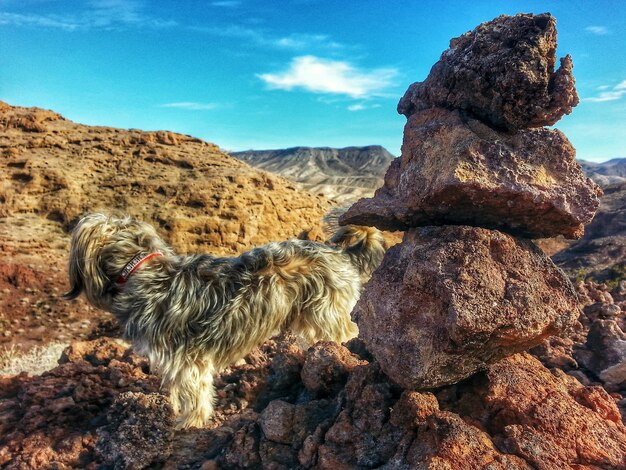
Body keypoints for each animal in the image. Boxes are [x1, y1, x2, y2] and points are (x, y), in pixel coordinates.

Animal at [64, 215, 386, 428]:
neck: (143, 269)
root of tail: (341, 253)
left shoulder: (187, 362)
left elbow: (194, 395)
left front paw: (189, 423)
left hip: (327, 314)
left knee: (349, 332)